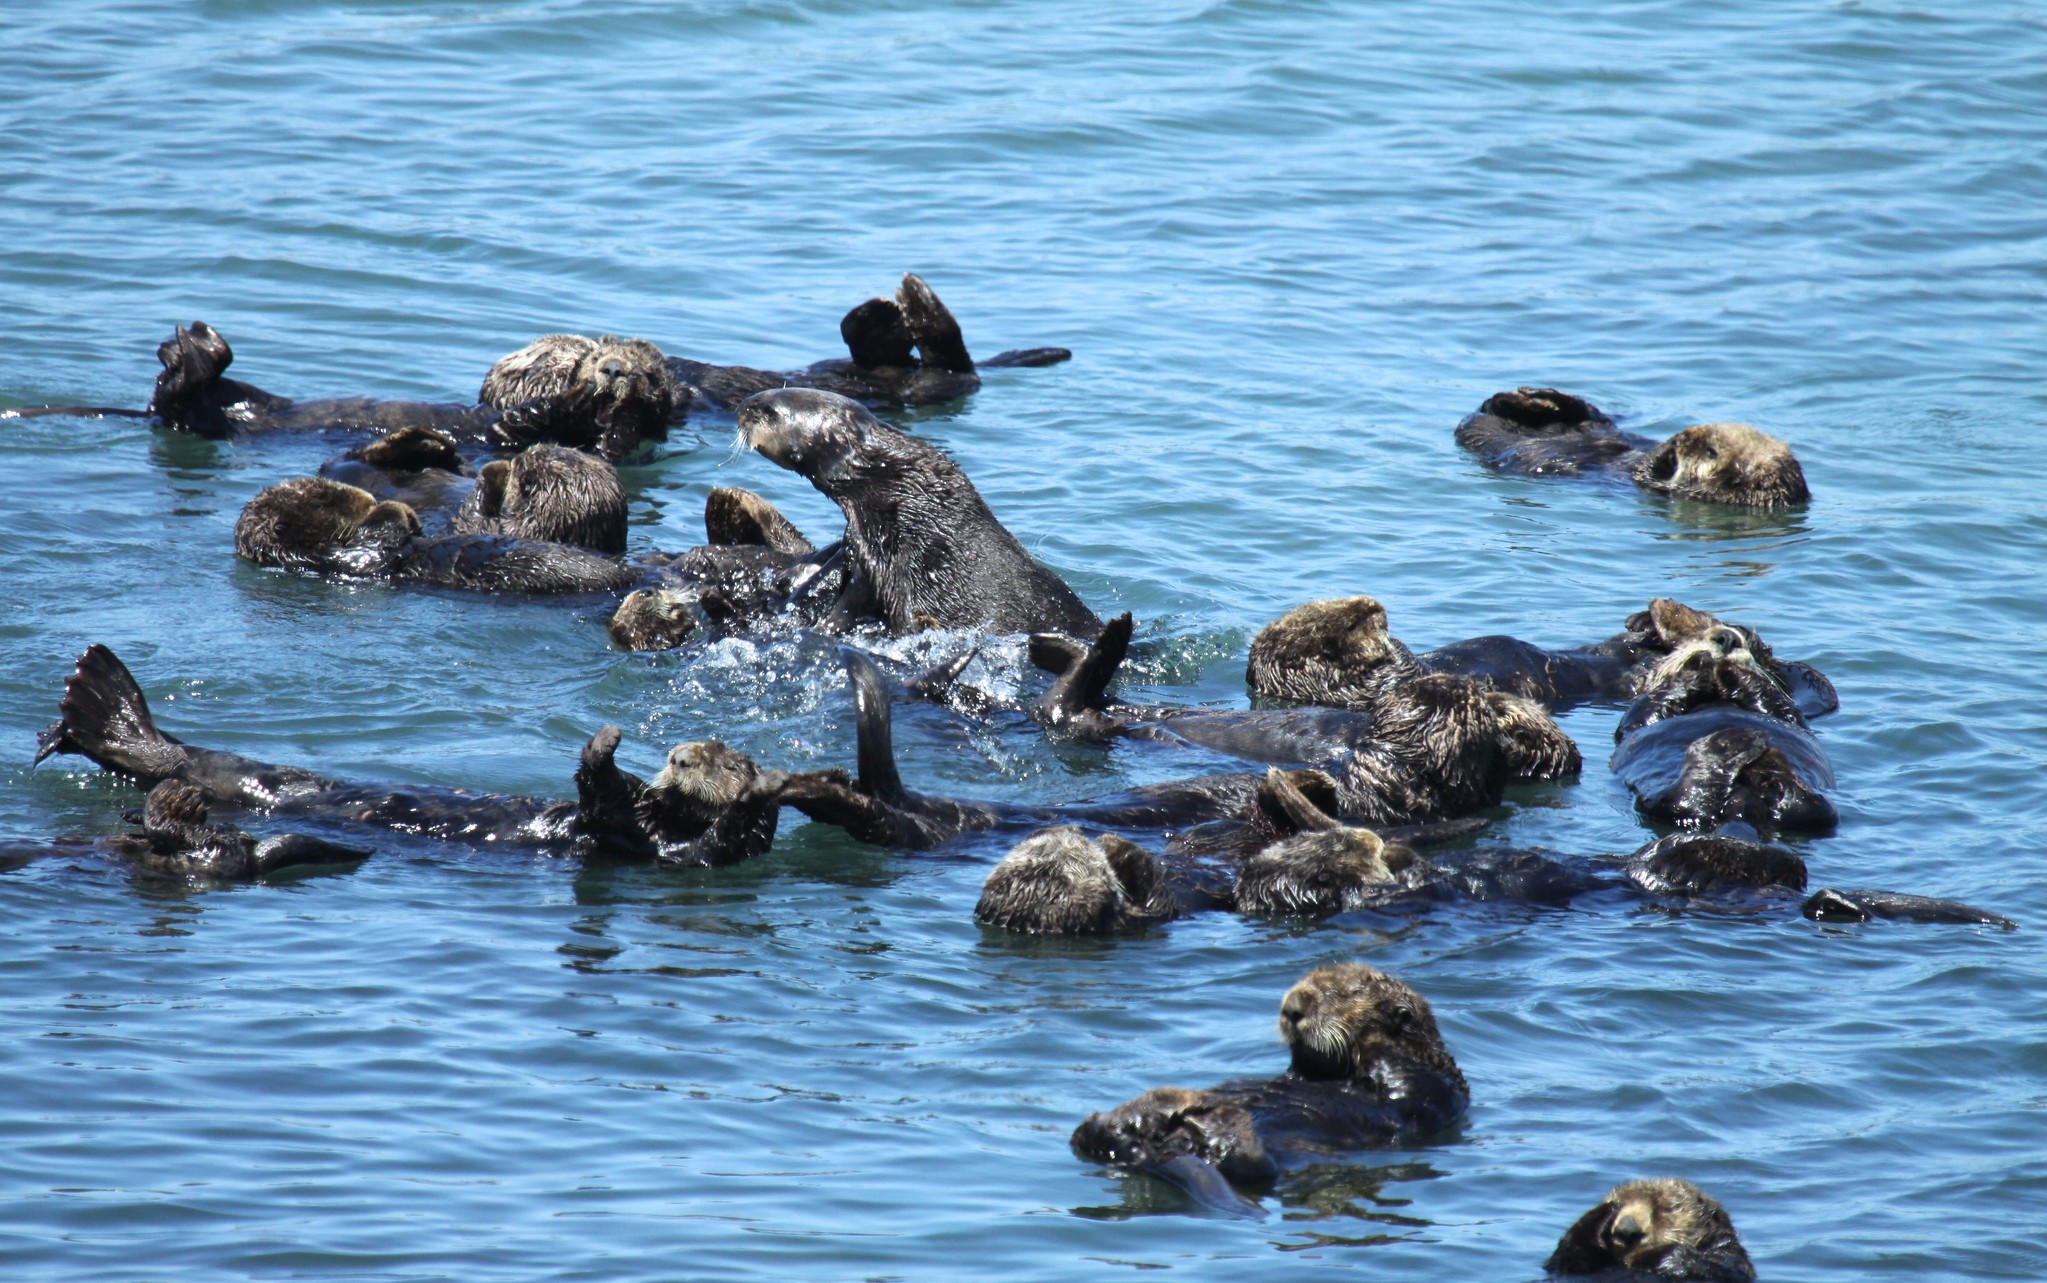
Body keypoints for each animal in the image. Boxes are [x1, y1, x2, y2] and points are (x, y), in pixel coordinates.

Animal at [33, 645, 781, 866]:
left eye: (724, 763)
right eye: (692, 750)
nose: (678, 757)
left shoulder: (666, 849)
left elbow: (619, 807)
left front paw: (606, 744)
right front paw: (615, 746)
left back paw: (93, 706)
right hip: (267, 781)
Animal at [1071, 964, 1468, 1218]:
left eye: (1339, 994)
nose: (1291, 1007)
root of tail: (1142, 1153)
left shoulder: (1432, 1087)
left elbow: (1394, 1069)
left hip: (1250, 1160)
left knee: (1247, 1163)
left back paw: (1199, 1108)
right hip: (1100, 1133)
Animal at [1457, 386, 1809, 509]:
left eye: (1711, 452)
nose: (1687, 435)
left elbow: (1650, 472)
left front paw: (1671, 449)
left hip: (1485, 433)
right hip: (1589, 421)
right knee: (1589, 415)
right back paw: (1537, 395)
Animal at [1545, 1178, 1756, 1282]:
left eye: (1665, 1208)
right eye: (1620, 1205)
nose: (1626, 1229)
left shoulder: (1728, 1254)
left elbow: (1723, 1268)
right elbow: (1564, 1260)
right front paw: (1605, 1211)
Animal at [1610, 630, 1836, 836]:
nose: (1727, 637)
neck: (1716, 699)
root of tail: (1740, 811)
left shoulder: (1790, 717)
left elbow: (1779, 705)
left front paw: (1734, 670)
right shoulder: (1635, 720)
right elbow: (1647, 709)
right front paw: (1699, 664)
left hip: (1807, 811)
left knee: (1808, 806)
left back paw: (1767, 766)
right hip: (1655, 802)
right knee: (1679, 802)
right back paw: (1730, 745)